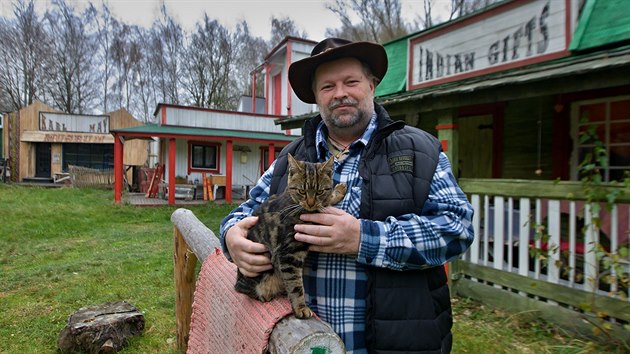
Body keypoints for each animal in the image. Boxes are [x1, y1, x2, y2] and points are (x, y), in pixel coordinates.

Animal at [235, 153, 348, 320]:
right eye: (302, 191)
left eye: (319, 191)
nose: (310, 203)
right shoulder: (288, 253)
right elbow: (295, 285)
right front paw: (300, 307)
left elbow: (326, 202)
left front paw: (337, 190)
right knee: (241, 289)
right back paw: (264, 294)